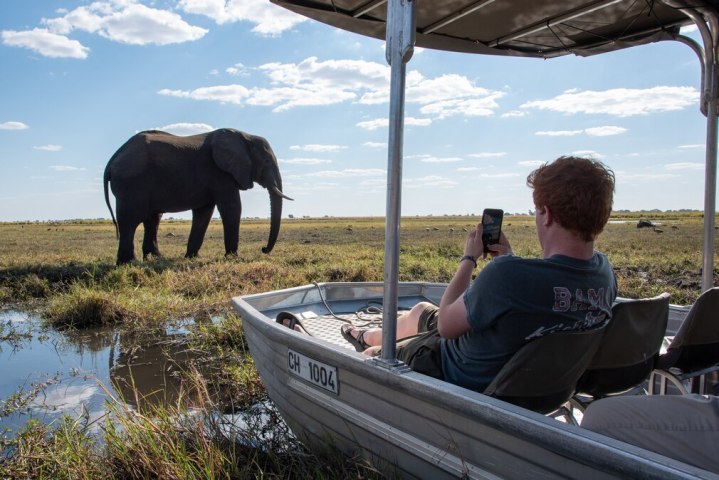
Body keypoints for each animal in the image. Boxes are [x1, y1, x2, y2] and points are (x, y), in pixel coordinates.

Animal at [103, 128, 292, 265]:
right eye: (266, 162)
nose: (263, 249)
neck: (246, 136)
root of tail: (114, 158)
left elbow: (204, 214)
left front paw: (193, 258)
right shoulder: (219, 173)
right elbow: (232, 207)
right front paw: (233, 258)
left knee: (153, 219)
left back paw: (155, 258)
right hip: (132, 183)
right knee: (131, 220)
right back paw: (129, 263)